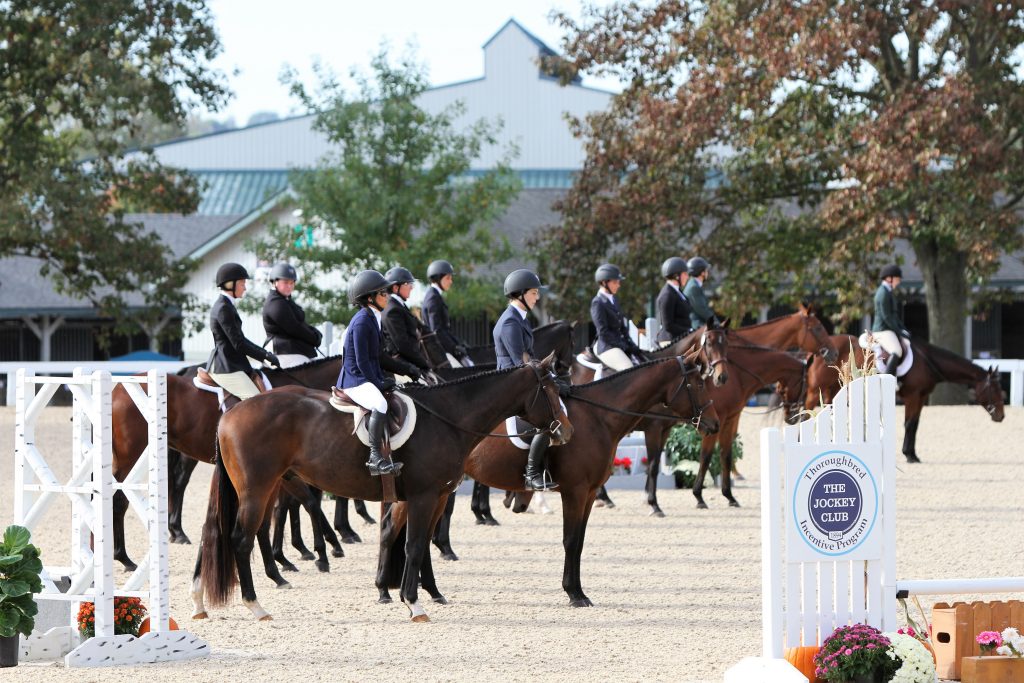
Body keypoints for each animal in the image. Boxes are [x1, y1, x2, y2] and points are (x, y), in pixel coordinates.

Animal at [111, 357, 347, 576]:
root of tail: (118, 389)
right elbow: (302, 504)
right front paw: (322, 548)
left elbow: (296, 505)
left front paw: (299, 553)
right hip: (130, 460)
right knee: (122, 499)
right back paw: (125, 557)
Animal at [193, 355, 572, 622]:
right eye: (551, 391)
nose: (566, 431)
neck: (448, 418)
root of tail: (231, 413)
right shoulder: (423, 497)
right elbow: (415, 545)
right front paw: (414, 604)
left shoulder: (436, 497)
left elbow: (417, 545)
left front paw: (415, 593)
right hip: (257, 491)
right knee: (240, 539)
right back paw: (256, 605)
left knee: (213, 533)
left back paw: (200, 601)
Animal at [375, 354, 720, 607]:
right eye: (698, 383)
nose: (714, 424)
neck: (598, 419)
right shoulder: (575, 492)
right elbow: (570, 540)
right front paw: (574, 594)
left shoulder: (590, 493)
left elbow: (579, 542)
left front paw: (578, 591)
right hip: (427, 491)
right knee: (394, 530)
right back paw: (385, 590)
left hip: (440, 490)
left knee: (422, 537)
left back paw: (431, 592)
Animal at [805, 334, 1005, 462]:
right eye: (994, 389)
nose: (1001, 416)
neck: (928, 361)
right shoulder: (913, 396)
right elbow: (909, 423)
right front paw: (908, 455)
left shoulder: (922, 396)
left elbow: (914, 424)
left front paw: (912, 454)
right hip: (817, 390)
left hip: (833, 390)